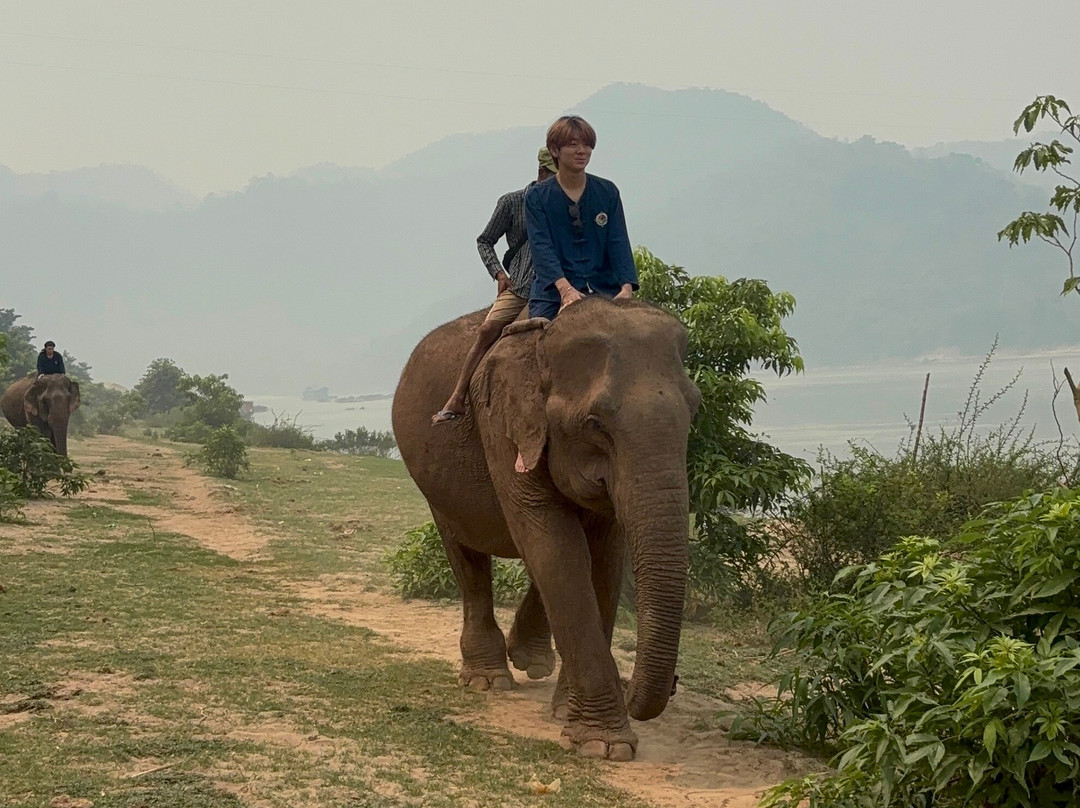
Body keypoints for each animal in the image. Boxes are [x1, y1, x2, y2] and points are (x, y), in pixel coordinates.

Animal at [392, 296, 701, 760]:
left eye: (694, 411)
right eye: (595, 424)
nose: (675, 685)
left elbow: (602, 558)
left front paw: (569, 716)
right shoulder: (500, 424)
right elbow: (554, 545)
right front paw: (604, 746)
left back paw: (529, 661)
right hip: (432, 484)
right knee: (467, 555)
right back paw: (488, 680)